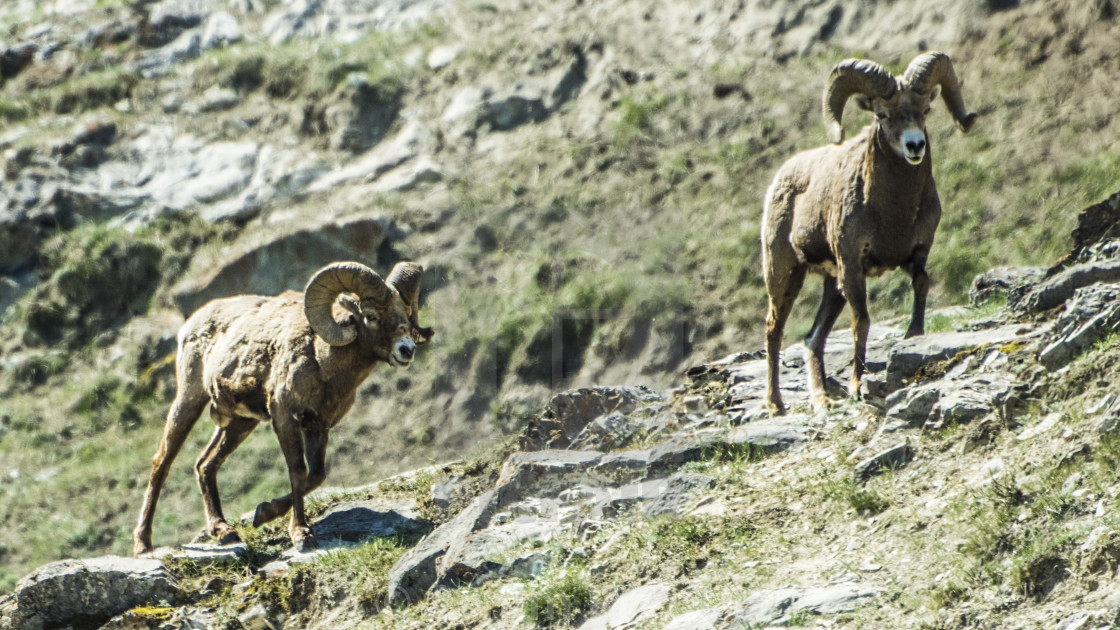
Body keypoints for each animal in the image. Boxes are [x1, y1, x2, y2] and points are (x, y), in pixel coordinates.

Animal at [134, 258, 432, 549]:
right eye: (370, 316)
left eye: (405, 313)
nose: (406, 350)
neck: (322, 362)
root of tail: (191, 325)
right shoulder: (285, 418)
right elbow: (298, 472)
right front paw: (300, 534)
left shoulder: (318, 426)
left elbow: (316, 476)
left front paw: (264, 513)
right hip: (190, 400)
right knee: (162, 462)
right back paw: (143, 544)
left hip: (241, 423)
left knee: (205, 464)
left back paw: (224, 531)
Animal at [761, 51, 981, 414]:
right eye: (882, 114)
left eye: (925, 110)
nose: (915, 145)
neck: (892, 211)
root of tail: (780, 179)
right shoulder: (852, 266)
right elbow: (861, 321)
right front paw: (856, 385)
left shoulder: (916, 254)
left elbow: (922, 285)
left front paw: (913, 337)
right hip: (785, 273)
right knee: (773, 330)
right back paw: (776, 404)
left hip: (831, 286)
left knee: (812, 339)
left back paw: (822, 399)